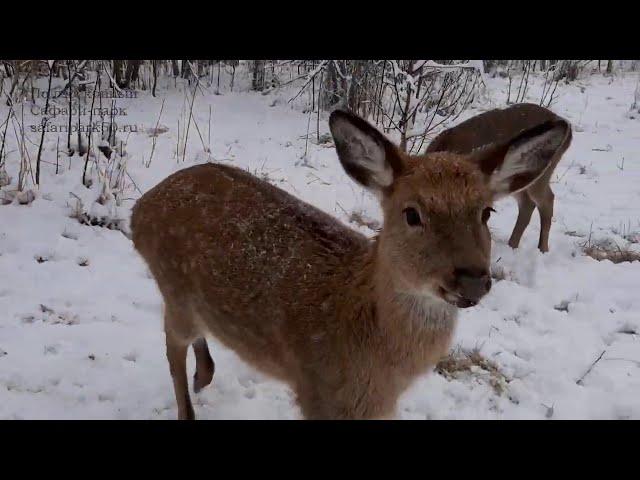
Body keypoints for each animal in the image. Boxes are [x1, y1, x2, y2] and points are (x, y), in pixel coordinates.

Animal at [428, 103, 572, 253]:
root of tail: (569, 130)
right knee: (528, 204)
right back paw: (512, 245)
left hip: (540, 176)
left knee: (547, 199)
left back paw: (542, 249)